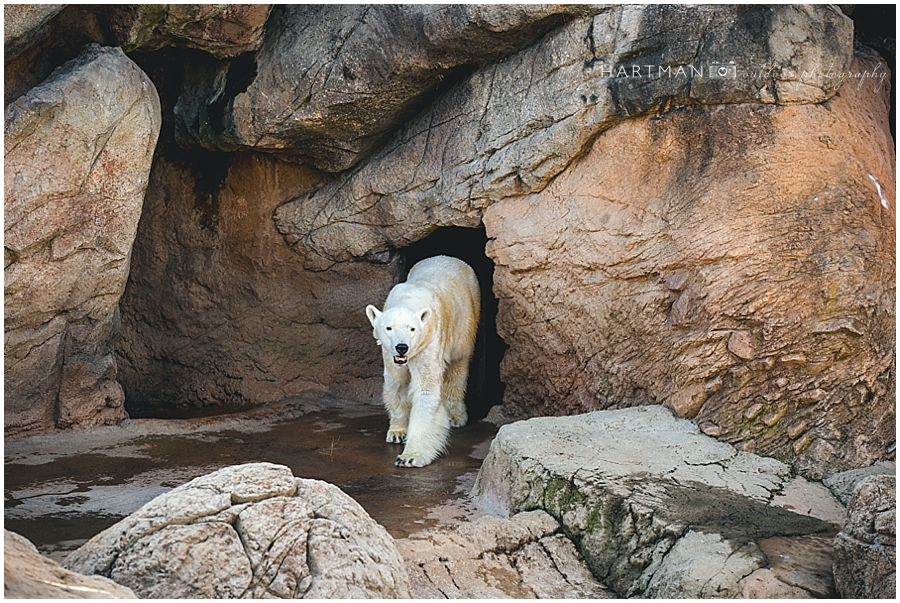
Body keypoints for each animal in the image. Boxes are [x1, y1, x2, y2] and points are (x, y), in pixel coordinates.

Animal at [364, 255, 482, 468]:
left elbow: (425, 390)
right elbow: (397, 383)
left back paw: (456, 416)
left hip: (467, 319)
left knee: (458, 365)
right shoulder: (389, 354)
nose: (402, 347)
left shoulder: (429, 341)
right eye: (388, 327)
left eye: (412, 328)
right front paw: (397, 432)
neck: (409, 299)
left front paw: (410, 456)